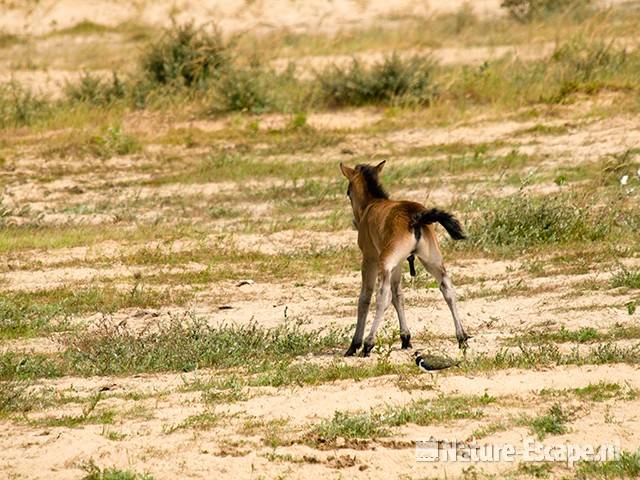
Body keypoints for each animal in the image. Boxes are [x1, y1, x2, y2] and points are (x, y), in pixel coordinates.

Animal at [340, 161, 470, 356]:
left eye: (348, 192)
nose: (355, 222)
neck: (372, 204)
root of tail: (415, 216)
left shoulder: (369, 259)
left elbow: (365, 298)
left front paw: (354, 344)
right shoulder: (399, 263)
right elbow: (399, 296)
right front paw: (405, 338)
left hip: (385, 263)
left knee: (382, 297)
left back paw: (368, 343)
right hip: (432, 261)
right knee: (448, 289)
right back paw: (461, 338)